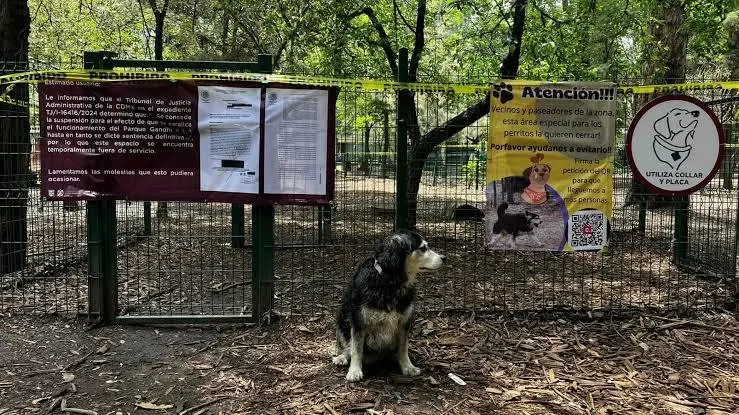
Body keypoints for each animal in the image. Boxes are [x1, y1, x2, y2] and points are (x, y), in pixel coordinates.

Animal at [334, 231, 446, 384]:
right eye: (423, 248)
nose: (444, 258)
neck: (390, 280)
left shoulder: (404, 322)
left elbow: (403, 348)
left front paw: (407, 367)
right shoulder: (358, 320)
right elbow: (356, 348)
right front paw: (355, 371)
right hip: (342, 320)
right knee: (347, 347)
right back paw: (341, 357)